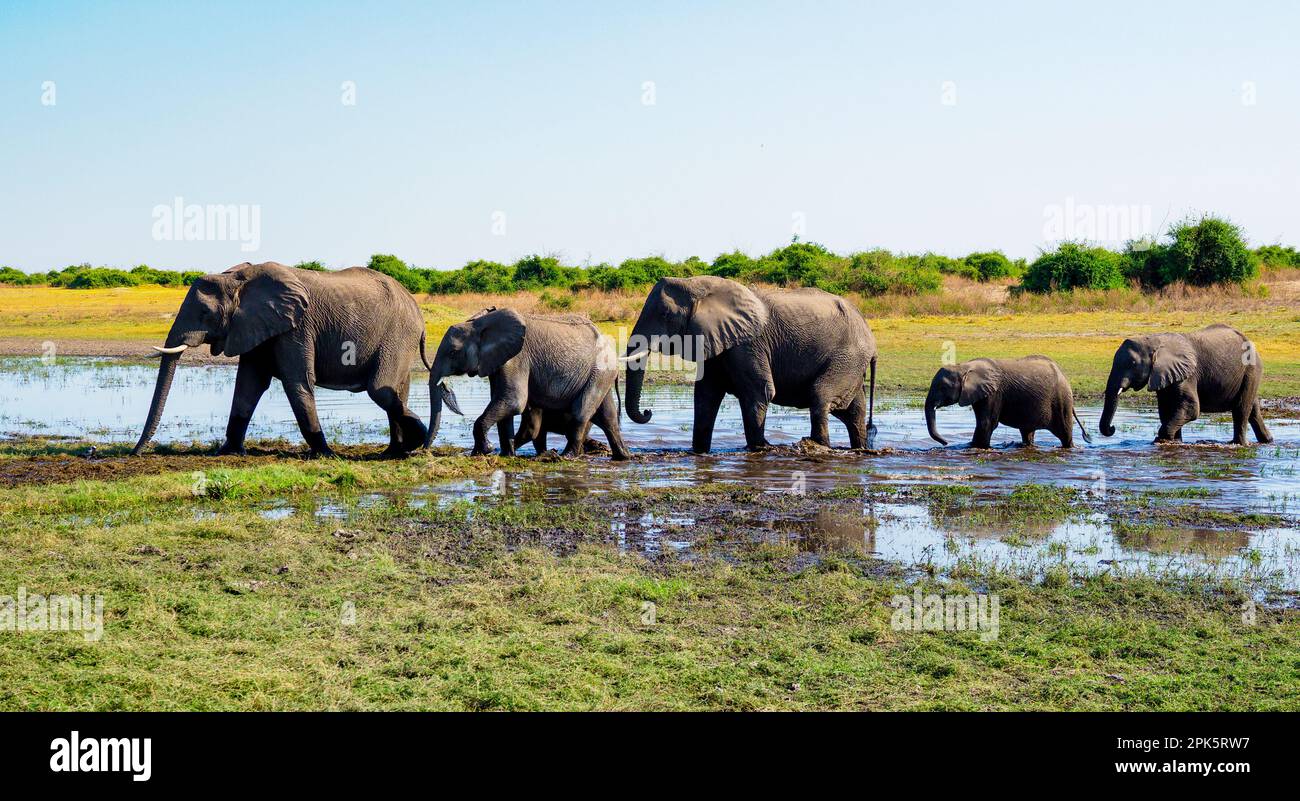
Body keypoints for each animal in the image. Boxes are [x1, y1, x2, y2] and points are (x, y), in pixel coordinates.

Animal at [131, 262, 428, 460]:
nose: (135, 453)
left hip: (398, 335)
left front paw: (325, 454)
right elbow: (248, 386)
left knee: (380, 389)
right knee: (396, 390)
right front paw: (229, 452)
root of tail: (417, 311)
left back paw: (416, 441)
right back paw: (395, 452)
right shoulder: (254, 326)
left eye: (205, 313)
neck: (239, 279)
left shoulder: (296, 327)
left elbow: (297, 382)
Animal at [426, 306, 629, 457]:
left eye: (453, 352)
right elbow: (504, 403)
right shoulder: (498, 360)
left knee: (581, 412)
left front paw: (484, 451)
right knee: (608, 418)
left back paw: (566, 456)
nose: (424, 451)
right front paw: (506, 455)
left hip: (600, 370)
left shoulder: (516, 358)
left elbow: (514, 401)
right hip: (601, 373)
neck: (479, 324)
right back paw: (623, 457)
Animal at [624, 275, 878, 449]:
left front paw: (758, 448)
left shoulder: (748, 343)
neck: (699, 284)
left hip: (848, 356)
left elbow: (759, 391)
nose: (648, 411)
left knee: (821, 397)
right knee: (853, 412)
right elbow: (706, 395)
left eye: (665, 315)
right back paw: (858, 448)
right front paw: (698, 452)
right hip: (852, 361)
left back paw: (820, 446)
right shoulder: (719, 340)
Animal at [920, 356, 1092, 447]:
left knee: (1065, 433)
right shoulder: (981, 393)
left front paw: (972, 447)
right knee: (1027, 432)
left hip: (1062, 401)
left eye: (943, 387)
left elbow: (986, 423)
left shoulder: (994, 393)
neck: (964, 367)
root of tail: (1063, 375)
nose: (946, 443)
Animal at [1097, 322, 1268, 444]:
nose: (1112, 428)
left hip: (1251, 369)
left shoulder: (1187, 374)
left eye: (1132, 363)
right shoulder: (1165, 375)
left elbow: (1191, 408)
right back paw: (1267, 441)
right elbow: (1166, 409)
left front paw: (1160, 440)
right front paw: (1175, 442)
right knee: (1253, 409)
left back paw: (1237, 444)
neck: (1154, 340)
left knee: (1241, 409)